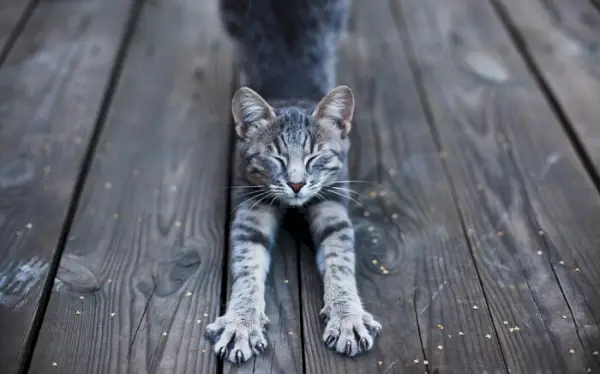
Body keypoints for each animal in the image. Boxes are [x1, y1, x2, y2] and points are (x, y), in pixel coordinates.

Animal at [204, 0, 382, 364]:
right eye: (276, 159)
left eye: (315, 158)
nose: (297, 185)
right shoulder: (251, 207)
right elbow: (247, 264)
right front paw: (241, 322)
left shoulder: (332, 202)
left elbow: (340, 262)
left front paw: (348, 318)